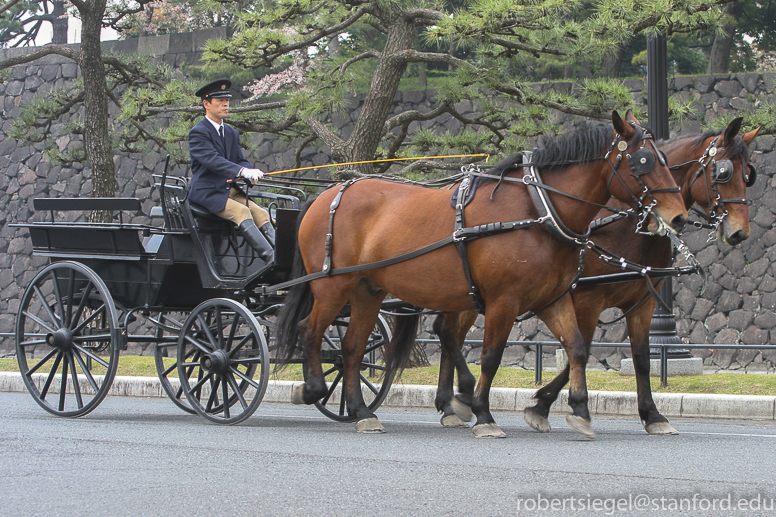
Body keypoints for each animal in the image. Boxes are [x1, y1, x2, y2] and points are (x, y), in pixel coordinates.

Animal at [274, 112, 684, 436]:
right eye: (644, 160)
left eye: (667, 159)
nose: (678, 215)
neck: (538, 211)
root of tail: (328, 192)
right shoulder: (505, 301)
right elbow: (490, 357)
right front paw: (483, 414)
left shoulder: (551, 299)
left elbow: (578, 348)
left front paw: (578, 409)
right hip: (333, 285)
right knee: (310, 330)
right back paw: (312, 388)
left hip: (366, 290)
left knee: (352, 348)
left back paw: (361, 411)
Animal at [424, 118, 756, 436]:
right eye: (723, 172)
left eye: (748, 175)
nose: (740, 232)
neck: (622, 223)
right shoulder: (587, 299)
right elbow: (580, 347)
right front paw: (545, 405)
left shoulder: (641, 302)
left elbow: (640, 359)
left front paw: (652, 415)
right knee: (449, 332)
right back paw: (461, 396)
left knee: (446, 330)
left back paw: (449, 402)